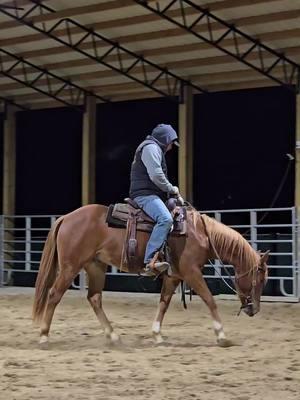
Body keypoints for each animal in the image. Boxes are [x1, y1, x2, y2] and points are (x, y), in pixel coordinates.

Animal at [32, 203, 270, 346]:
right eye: (259, 279)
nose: (254, 309)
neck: (199, 233)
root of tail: (66, 218)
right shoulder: (192, 273)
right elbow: (210, 300)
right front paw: (221, 335)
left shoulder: (174, 276)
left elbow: (164, 303)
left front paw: (157, 334)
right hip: (70, 267)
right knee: (54, 295)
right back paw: (44, 335)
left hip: (95, 266)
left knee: (94, 298)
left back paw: (113, 335)